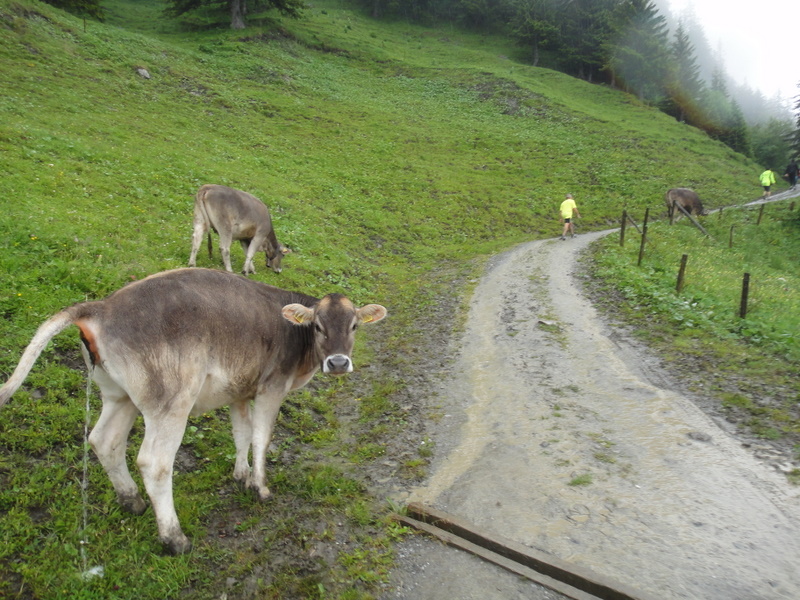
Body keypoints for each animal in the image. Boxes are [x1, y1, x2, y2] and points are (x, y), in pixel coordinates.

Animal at [0, 270, 388, 556]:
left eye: (354, 326)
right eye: (318, 326)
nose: (338, 363)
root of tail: (102, 306)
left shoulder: (239, 390)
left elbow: (241, 433)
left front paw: (241, 475)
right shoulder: (271, 387)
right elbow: (261, 437)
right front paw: (260, 487)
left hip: (119, 395)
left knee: (104, 440)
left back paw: (132, 502)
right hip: (171, 401)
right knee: (154, 463)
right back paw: (175, 539)